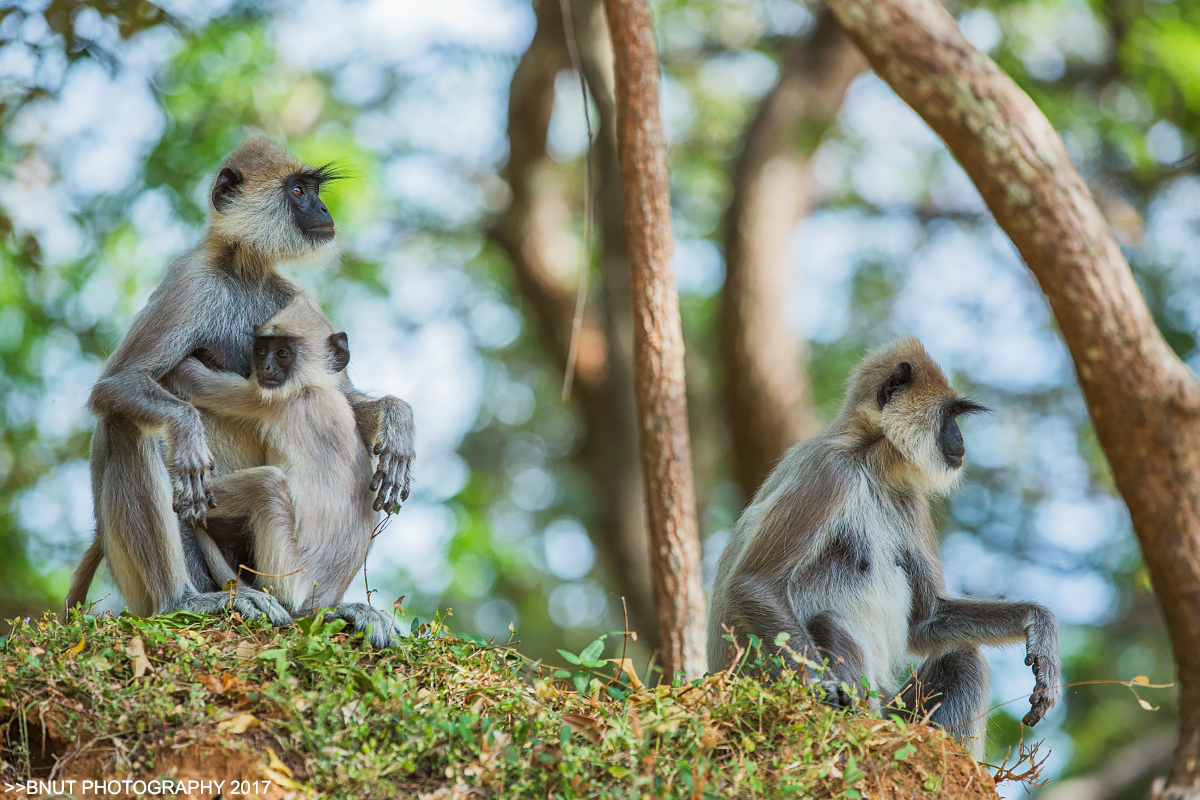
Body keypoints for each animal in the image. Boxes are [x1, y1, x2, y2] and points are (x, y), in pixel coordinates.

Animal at [166, 291, 398, 647]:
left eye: (283, 353)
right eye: (262, 351)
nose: (265, 367)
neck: (314, 388)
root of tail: (316, 602)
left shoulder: (270, 400)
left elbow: (192, 381)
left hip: (287, 575)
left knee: (267, 483)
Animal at [705, 335, 1065, 758]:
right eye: (949, 415)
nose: (960, 440)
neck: (871, 459)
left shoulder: (907, 495)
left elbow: (928, 620)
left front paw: (1039, 624)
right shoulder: (829, 470)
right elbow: (754, 584)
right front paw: (824, 689)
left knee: (963, 657)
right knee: (828, 622)